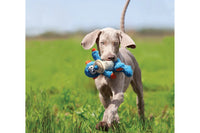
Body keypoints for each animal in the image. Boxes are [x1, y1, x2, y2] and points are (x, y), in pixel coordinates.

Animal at [80, 0, 145, 131]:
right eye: (102, 43)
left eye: (116, 43)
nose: (110, 57)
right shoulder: (102, 94)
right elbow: (109, 106)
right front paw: (111, 123)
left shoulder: (119, 93)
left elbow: (110, 108)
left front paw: (104, 123)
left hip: (137, 82)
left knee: (140, 101)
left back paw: (143, 122)